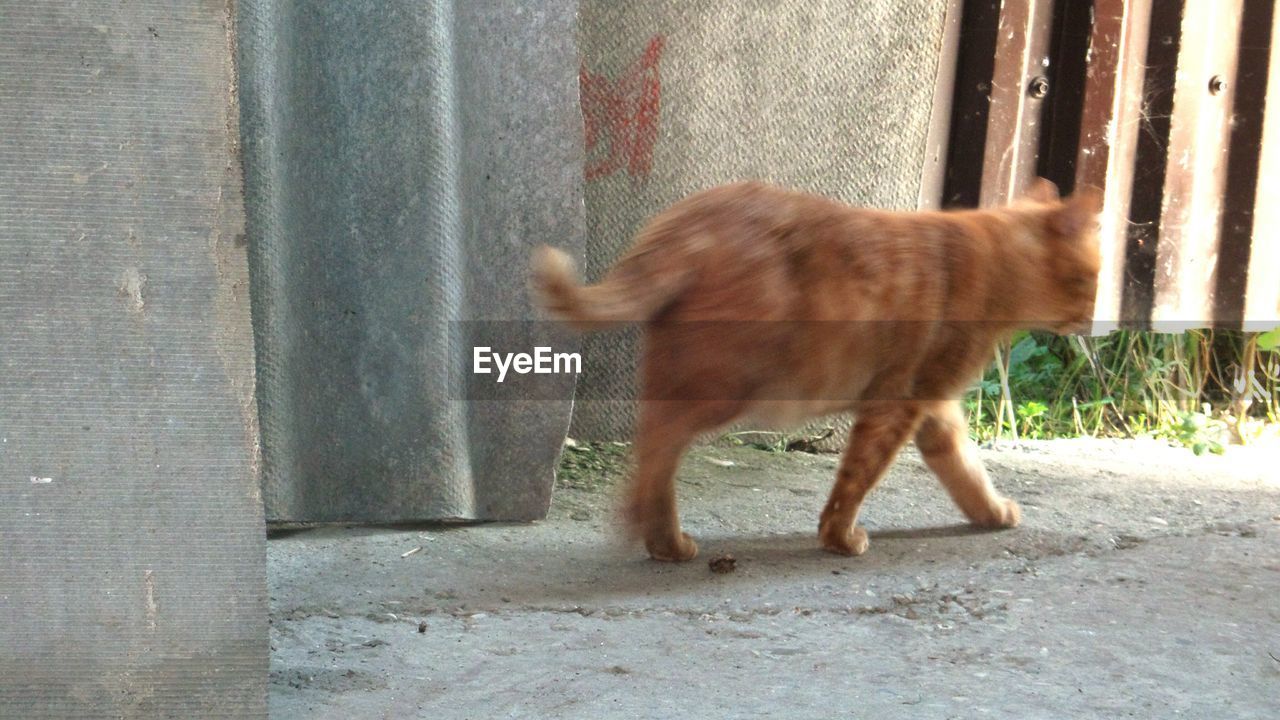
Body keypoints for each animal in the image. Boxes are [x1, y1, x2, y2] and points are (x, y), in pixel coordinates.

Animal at [529, 179, 1100, 561]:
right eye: (1095, 274)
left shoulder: (934, 407)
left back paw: (661, 537)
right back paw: (648, 530)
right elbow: (858, 477)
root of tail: (690, 217)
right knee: (656, 445)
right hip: (725, 387)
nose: (1095, 317)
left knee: (654, 446)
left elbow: (966, 471)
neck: (990, 262)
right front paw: (839, 537)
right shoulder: (898, 402)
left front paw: (993, 512)